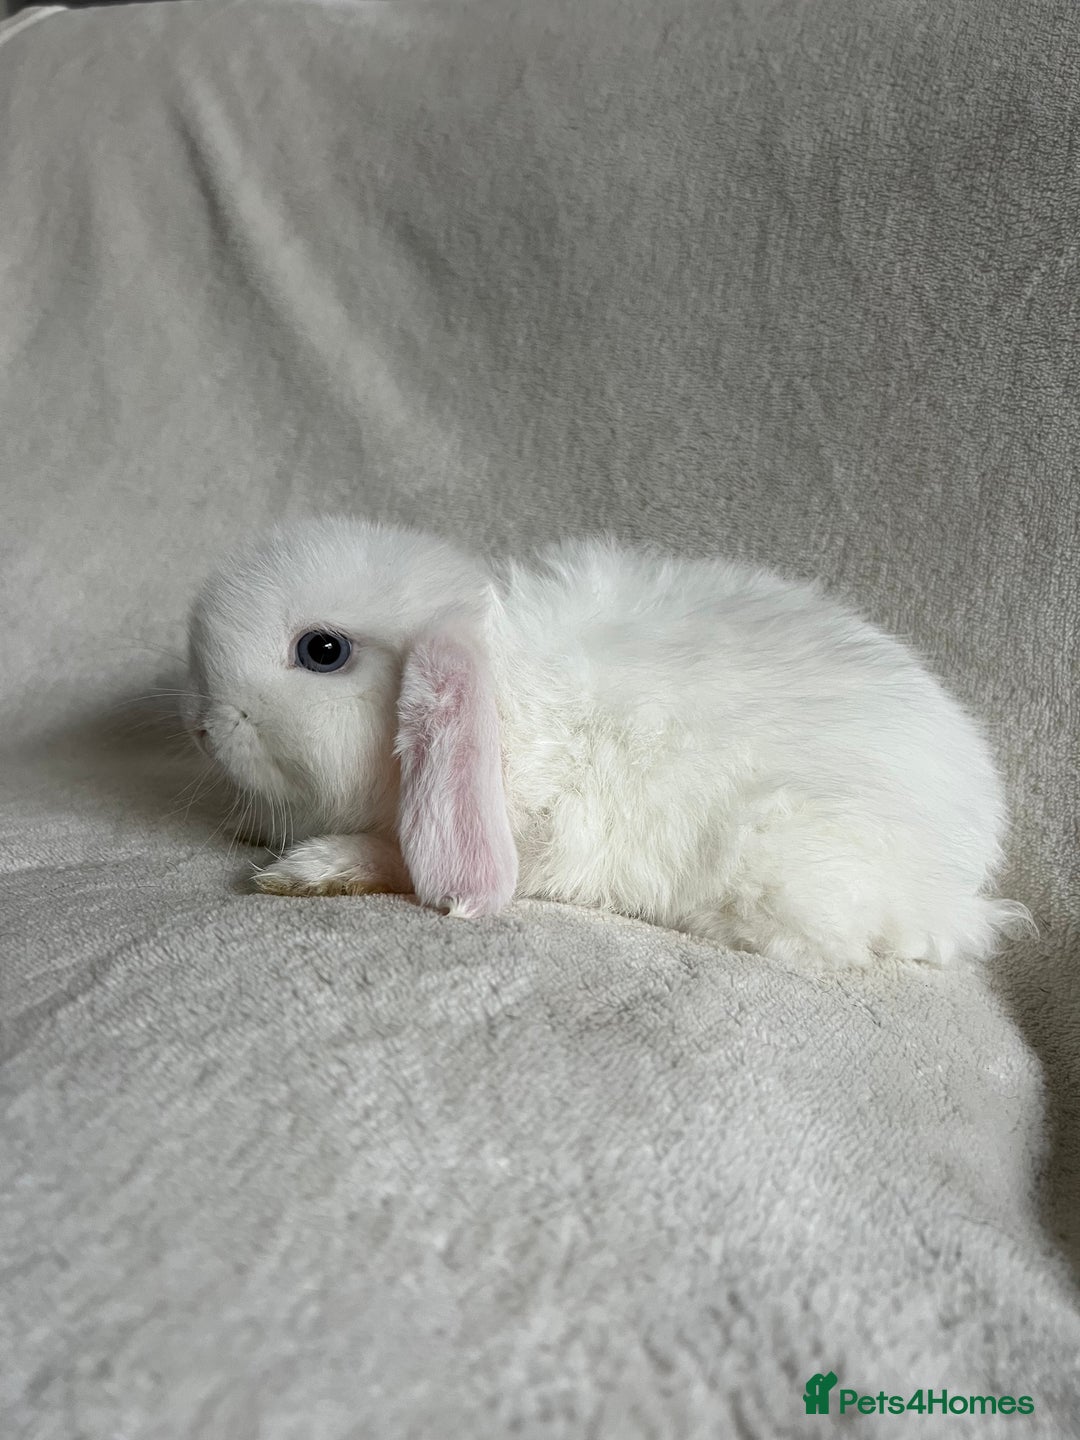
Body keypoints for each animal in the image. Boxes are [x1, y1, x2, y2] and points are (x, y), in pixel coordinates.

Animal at [183, 514, 1032, 969]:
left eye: (322, 651)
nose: (200, 725)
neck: (502, 695)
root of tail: (969, 862)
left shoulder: (531, 832)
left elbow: (400, 856)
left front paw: (307, 870)